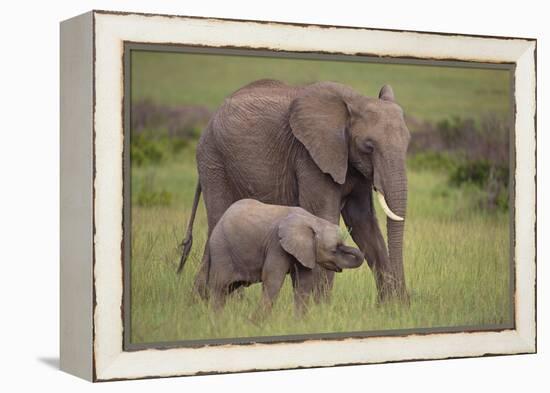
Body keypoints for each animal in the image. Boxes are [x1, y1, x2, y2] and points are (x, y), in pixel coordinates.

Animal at [179, 79, 412, 300]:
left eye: (408, 145)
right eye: (368, 146)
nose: (405, 299)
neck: (354, 101)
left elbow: (364, 223)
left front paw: (393, 307)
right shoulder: (309, 157)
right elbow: (325, 217)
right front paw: (320, 308)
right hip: (214, 162)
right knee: (218, 220)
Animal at [205, 198, 364, 314]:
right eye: (333, 250)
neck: (312, 220)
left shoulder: (304, 251)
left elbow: (304, 283)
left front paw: (300, 322)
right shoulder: (276, 244)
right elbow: (273, 280)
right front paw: (257, 323)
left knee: (228, 289)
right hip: (221, 249)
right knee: (219, 288)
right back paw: (217, 319)